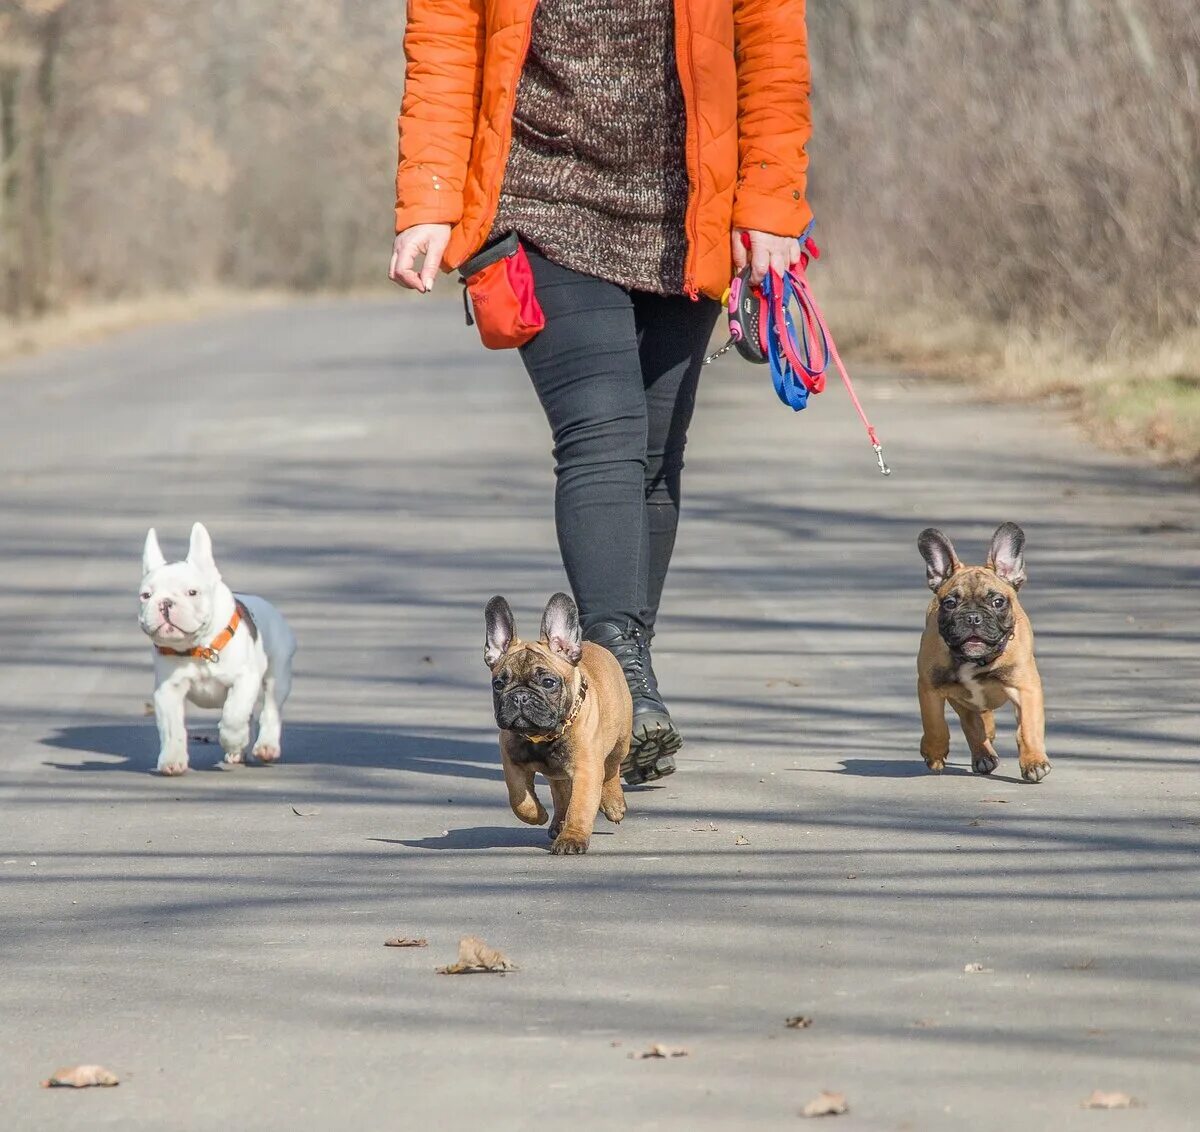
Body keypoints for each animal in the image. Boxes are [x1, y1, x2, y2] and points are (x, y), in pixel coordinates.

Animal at [482, 597, 633, 854]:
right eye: (499, 684)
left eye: (548, 682)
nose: (520, 697)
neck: (542, 736)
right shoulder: (512, 764)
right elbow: (518, 798)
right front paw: (537, 815)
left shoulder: (586, 770)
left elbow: (580, 806)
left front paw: (572, 838)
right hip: (558, 773)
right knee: (560, 791)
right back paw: (557, 822)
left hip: (620, 742)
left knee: (612, 769)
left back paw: (613, 804)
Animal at [916, 523, 1051, 782]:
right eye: (949, 603)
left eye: (998, 602)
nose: (972, 617)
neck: (975, 660)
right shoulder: (929, 686)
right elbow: (934, 724)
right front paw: (934, 752)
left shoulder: (1025, 689)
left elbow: (1028, 729)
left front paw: (1034, 762)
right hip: (959, 698)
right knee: (973, 722)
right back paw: (983, 754)